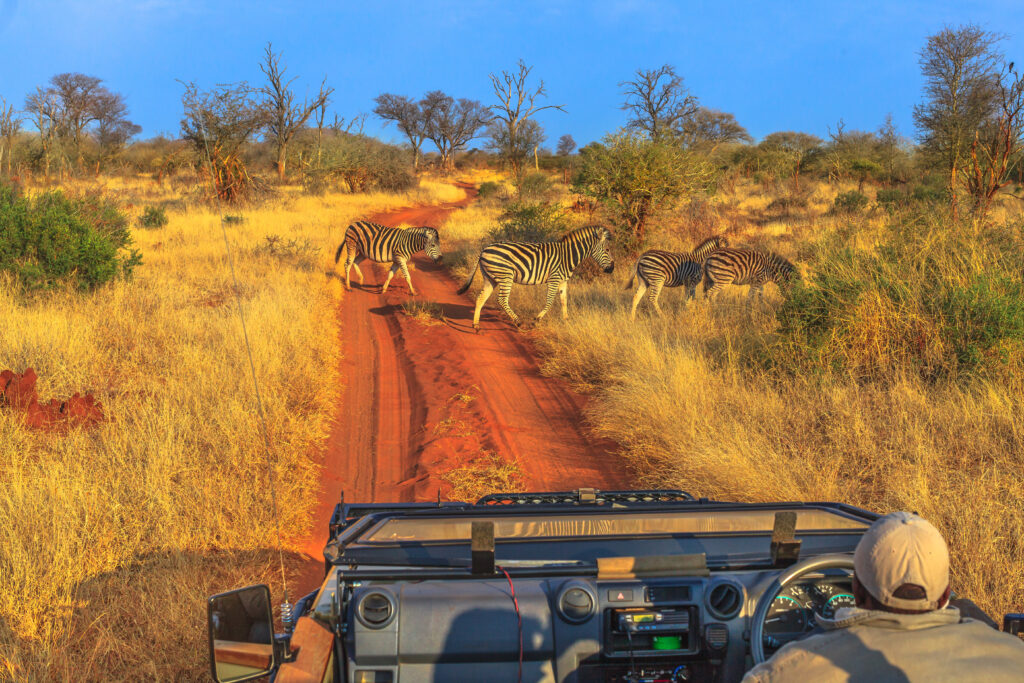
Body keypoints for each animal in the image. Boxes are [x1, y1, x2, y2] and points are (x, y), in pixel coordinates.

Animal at [458, 224, 614, 331]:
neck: (568, 256)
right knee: (501, 299)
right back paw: (518, 322)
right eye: (607, 250)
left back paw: (476, 326)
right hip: (506, 276)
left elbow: (564, 301)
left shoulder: (563, 281)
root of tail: (484, 249)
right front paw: (536, 321)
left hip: (489, 278)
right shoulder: (554, 278)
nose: (612, 269)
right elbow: (550, 301)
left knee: (481, 298)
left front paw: (566, 321)